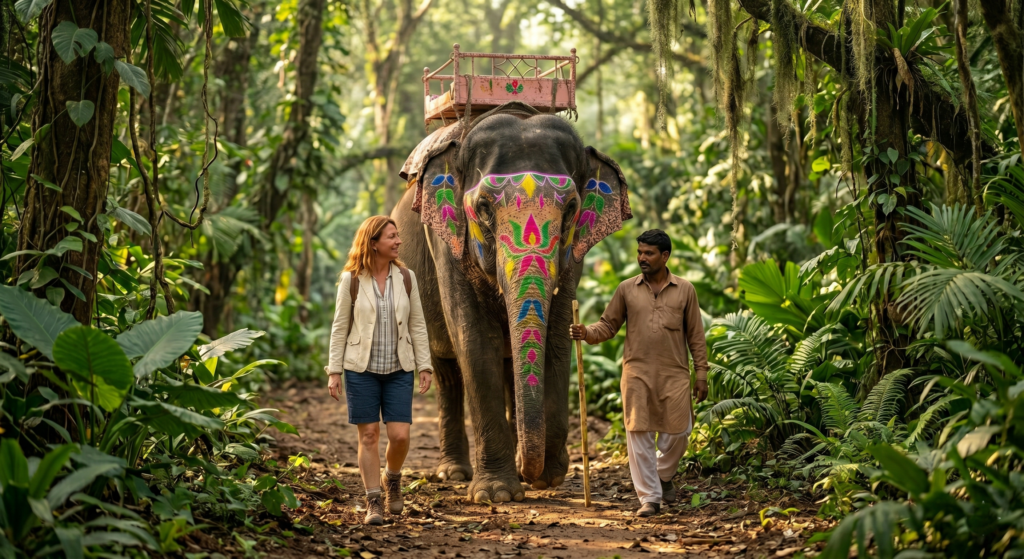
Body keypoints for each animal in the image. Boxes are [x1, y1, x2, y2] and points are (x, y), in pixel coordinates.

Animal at [391, 102, 631, 503]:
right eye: (485, 208)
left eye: (571, 208)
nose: (531, 472)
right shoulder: (446, 243)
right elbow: (474, 339)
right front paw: (496, 494)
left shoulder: (574, 256)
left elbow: (557, 337)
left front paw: (547, 477)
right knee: (446, 369)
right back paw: (453, 473)